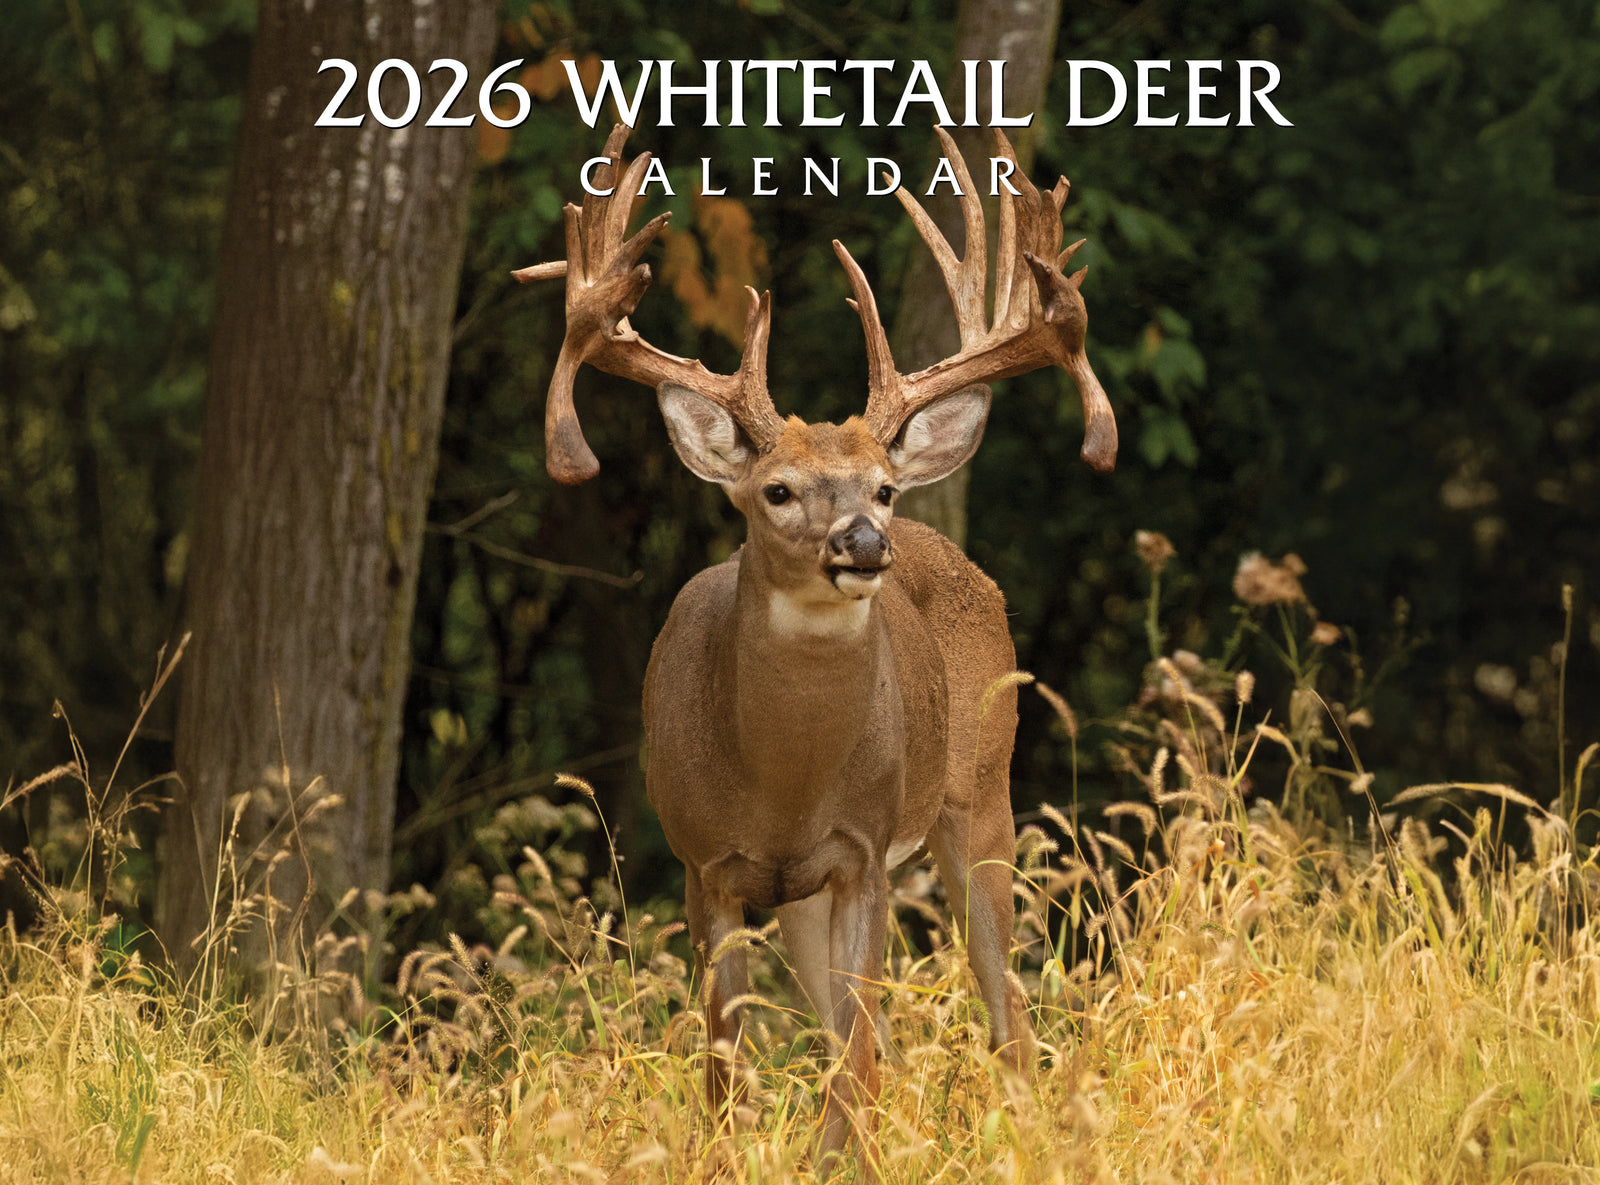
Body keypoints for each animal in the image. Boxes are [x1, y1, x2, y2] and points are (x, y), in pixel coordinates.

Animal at [514, 124, 1117, 1170]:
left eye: (882, 486)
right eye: (779, 490)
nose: (864, 543)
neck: (783, 783)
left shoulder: (864, 850)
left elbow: (862, 1056)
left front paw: (845, 1163)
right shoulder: (704, 861)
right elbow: (727, 1067)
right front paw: (731, 1161)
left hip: (981, 790)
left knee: (1002, 1017)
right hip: (806, 894)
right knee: (860, 1035)